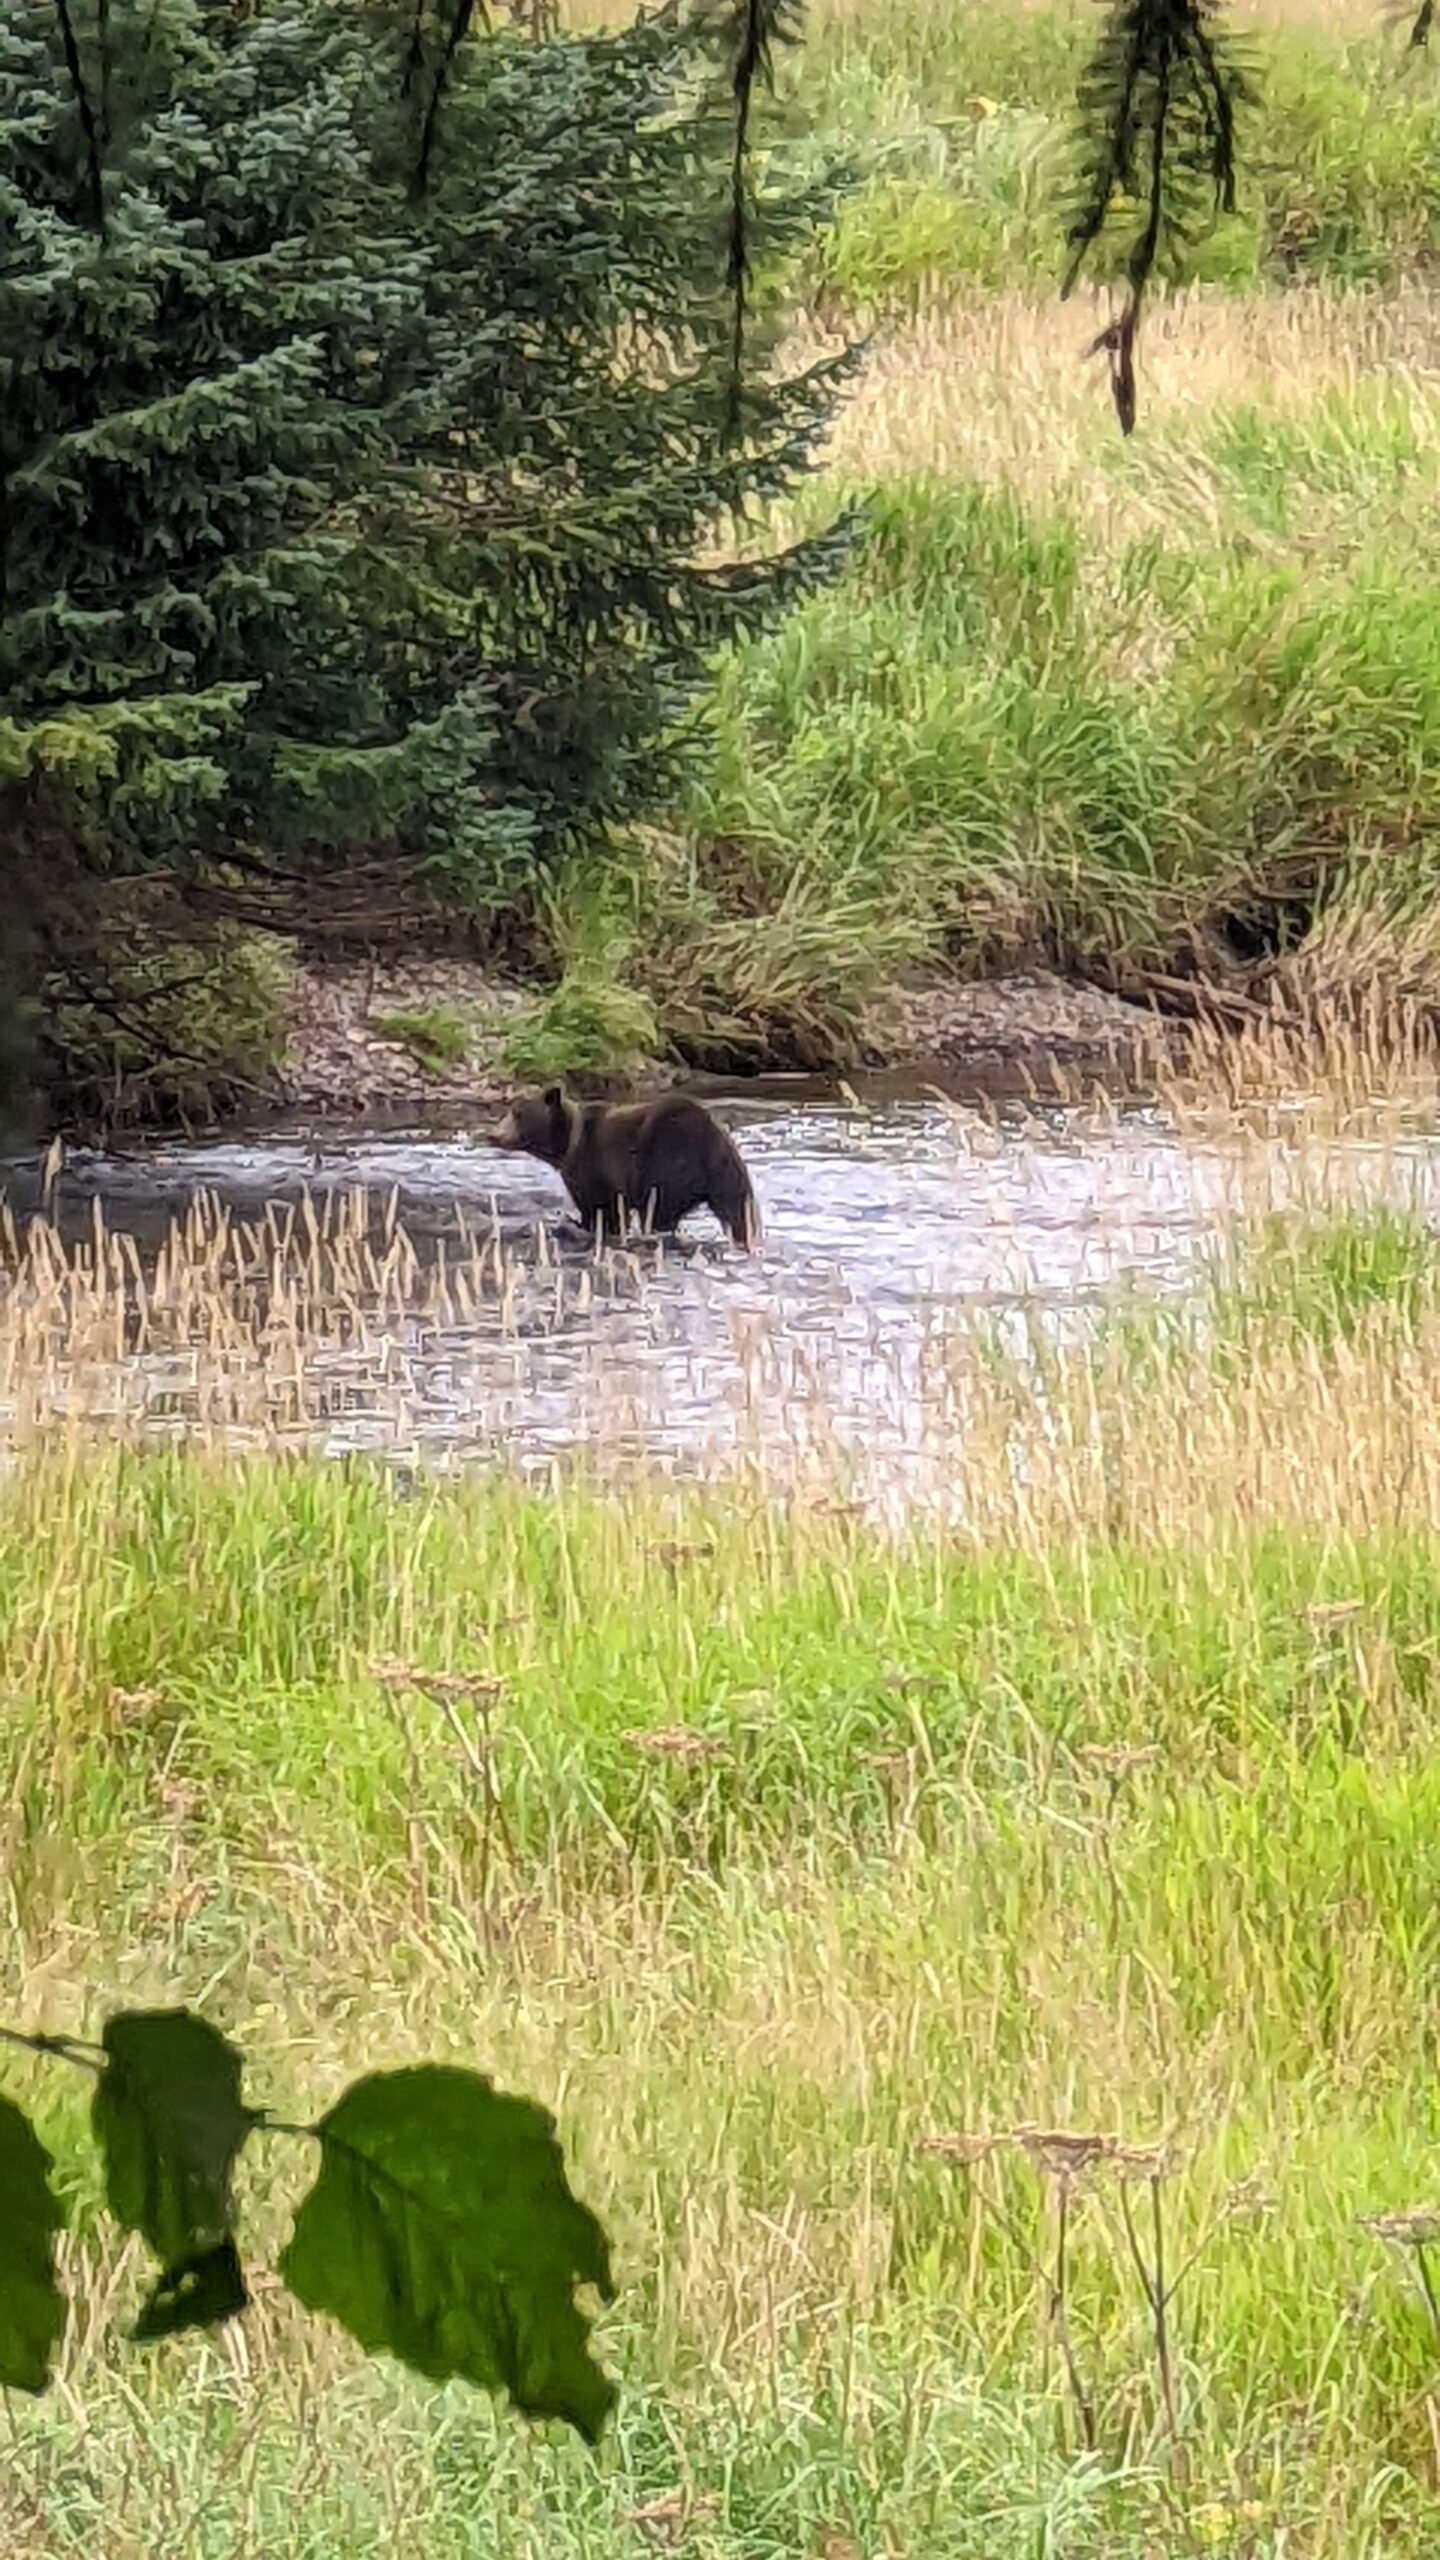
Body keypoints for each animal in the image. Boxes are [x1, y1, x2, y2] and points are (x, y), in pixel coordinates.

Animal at [490, 1085, 759, 1246]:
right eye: (510, 1111)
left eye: (518, 1114)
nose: (494, 1135)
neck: (568, 1148)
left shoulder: (599, 1171)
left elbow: (604, 1211)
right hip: (726, 1177)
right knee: (738, 1212)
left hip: (666, 1160)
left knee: (659, 1211)